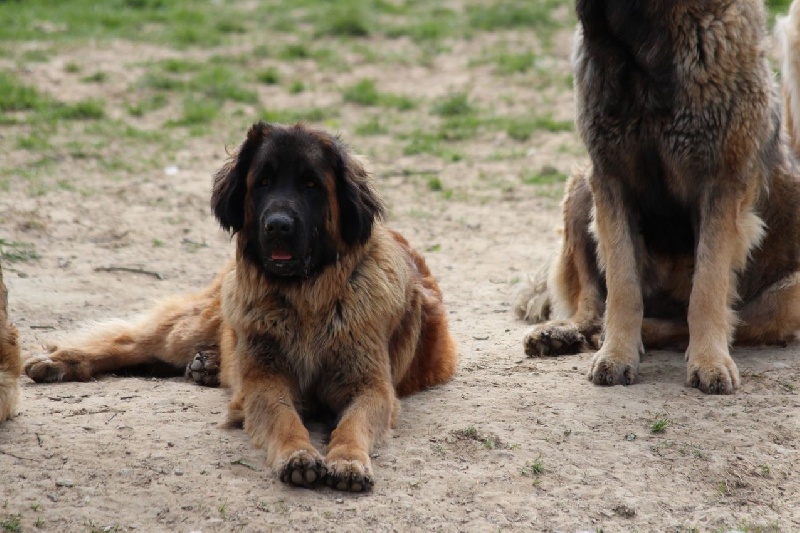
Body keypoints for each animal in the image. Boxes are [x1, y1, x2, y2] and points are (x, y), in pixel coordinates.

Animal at [25, 121, 460, 490]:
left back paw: (207, 365)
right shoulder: (265, 381)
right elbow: (284, 417)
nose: (278, 226)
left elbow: (353, 424)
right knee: (128, 344)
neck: (306, 301)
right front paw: (298, 454)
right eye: (263, 181)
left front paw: (349, 461)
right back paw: (59, 362)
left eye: (311, 184)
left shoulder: (370, 386)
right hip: (192, 326)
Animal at [516, 0, 800, 390]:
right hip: (580, 189)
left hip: (789, 294)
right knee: (591, 302)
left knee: (718, 321)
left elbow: (707, 289)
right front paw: (617, 355)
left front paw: (709, 361)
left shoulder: (721, 184)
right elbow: (621, 286)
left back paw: (642, 333)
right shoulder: (610, 177)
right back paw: (566, 333)